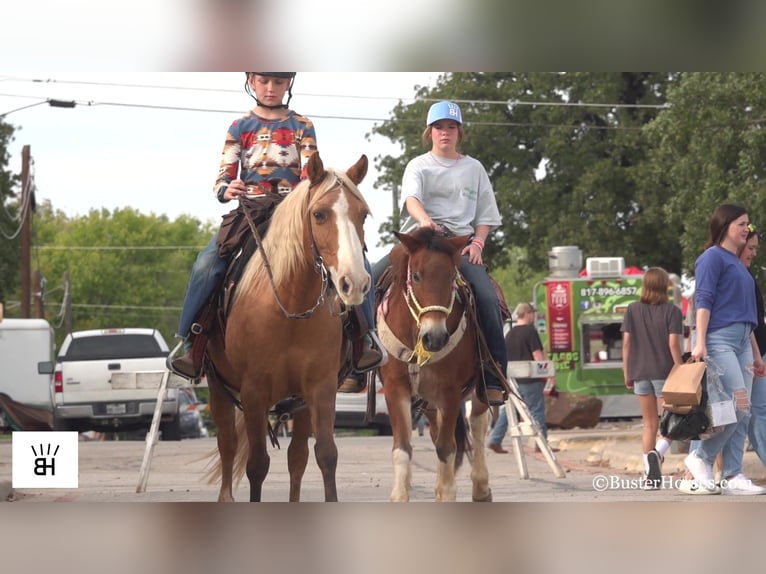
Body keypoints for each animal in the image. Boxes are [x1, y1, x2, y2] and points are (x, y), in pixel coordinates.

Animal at [204, 154, 372, 504]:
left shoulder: (320, 387)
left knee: (297, 457)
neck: (291, 307)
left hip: (300, 403)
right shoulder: (253, 390)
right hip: (218, 386)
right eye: (319, 214)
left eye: (363, 214)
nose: (354, 283)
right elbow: (256, 464)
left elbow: (325, 455)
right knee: (227, 445)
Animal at [376, 230, 496, 504]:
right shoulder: (395, 388)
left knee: (477, 425)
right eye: (416, 276)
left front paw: (447, 492)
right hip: (428, 400)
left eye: (452, 276)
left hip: (479, 390)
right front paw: (400, 495)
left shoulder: (450, 392)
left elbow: (446, 447)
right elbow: (402, 447)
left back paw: (481, 487)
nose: (435, 337)